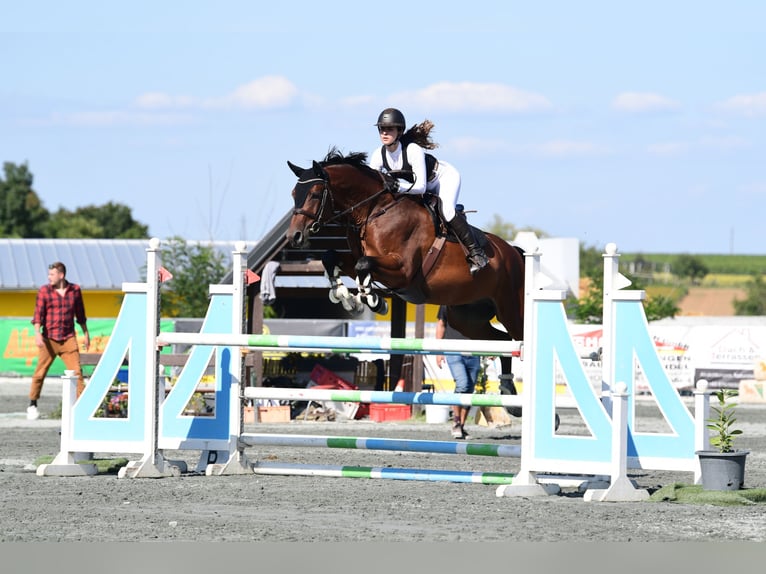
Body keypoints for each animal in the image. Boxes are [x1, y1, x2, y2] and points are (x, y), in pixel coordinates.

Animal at [288, 148, 528, 398]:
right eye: (294, 193)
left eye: (315, 195)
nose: (294, 236)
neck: (375, 212)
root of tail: (515, 252)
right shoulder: (358, 260)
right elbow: (332, 258)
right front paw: (346, 297)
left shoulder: (403, 271)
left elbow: (363, 265)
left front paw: (374, 301)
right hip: (465, 318)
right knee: (504, 340)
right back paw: (507, 388)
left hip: (512, 310)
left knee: (519, 337)